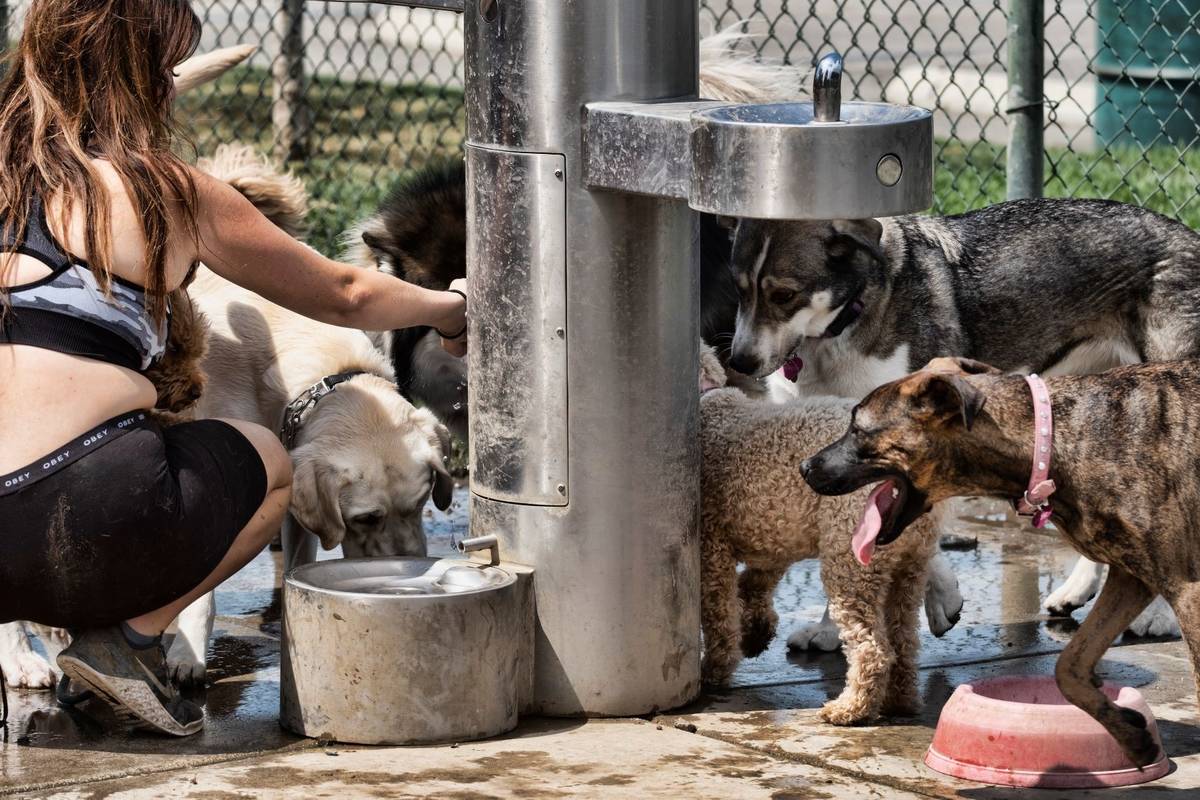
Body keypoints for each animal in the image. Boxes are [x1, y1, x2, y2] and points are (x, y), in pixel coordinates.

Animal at [729, 200, 1200, 638]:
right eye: (739, 289)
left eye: (784, 295)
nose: (739, 360)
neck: (849, 318)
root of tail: (1187, 233)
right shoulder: (844, 454)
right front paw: (835, 629)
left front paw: (938, 599)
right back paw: (1077, 590)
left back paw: (1159, 616)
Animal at [796, 357, 1200, 767]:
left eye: (858, 430)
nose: (805, 467)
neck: (1049, 442)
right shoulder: (1132, 577)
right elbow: (1068, 665)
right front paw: (1128, 732)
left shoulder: (1186, 589)